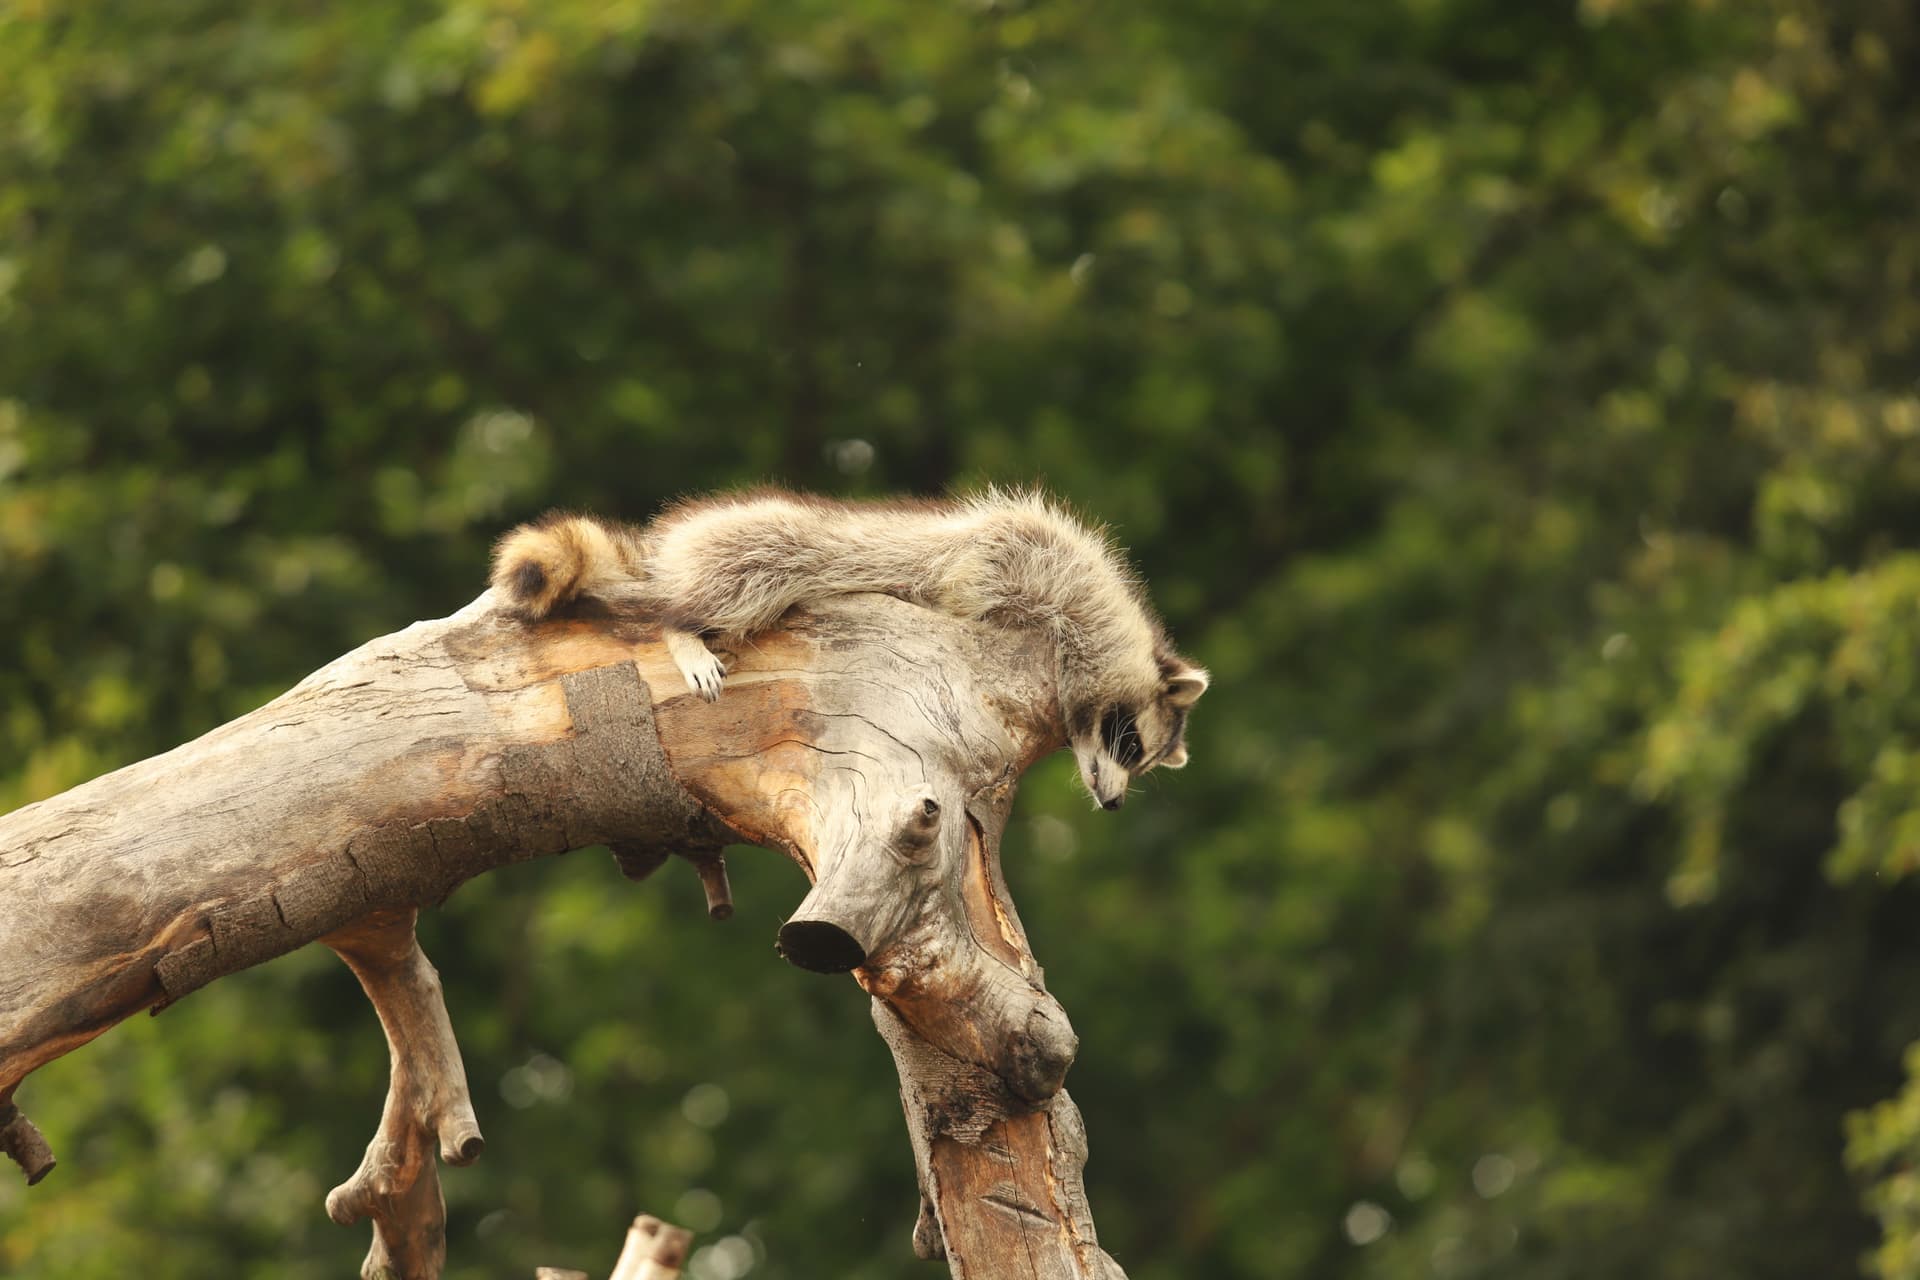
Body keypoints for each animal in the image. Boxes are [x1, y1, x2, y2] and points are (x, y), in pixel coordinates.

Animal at [490, 488, 1208, 808]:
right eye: (1130, 745)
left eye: (1140, 762)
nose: (1113, 802)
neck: (1100, 620)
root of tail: (667, 552)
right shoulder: (1017, 553)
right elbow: (965, 583)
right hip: (753, 547)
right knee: (728, 587)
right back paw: (683, 629)